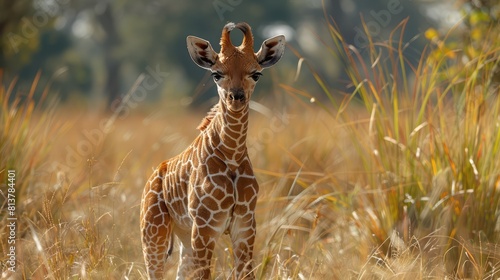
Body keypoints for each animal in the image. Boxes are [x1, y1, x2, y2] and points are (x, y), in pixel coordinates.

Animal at [141, 22, 286, 280]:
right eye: (216, 74)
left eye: (256, 73)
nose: (236, 97)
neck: (232, 156)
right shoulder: (205, 227)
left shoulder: (245, 226)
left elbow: (246, 274)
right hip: (153, 234)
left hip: (183, 237)